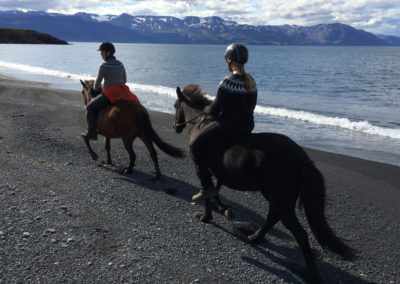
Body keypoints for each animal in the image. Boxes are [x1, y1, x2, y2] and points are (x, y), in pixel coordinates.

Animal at [173, 84, 354, 284]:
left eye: (175, 106)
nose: (175, 127)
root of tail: (299, 156)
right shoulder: (218, 172)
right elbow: (215, 189)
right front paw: (224, 210)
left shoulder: (201, 167)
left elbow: (207, 190)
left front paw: (207, 216)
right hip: (279, 197)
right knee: (273, 216)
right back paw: (256, 236)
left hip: (279, 197)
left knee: (298, 232)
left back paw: (311, 273)